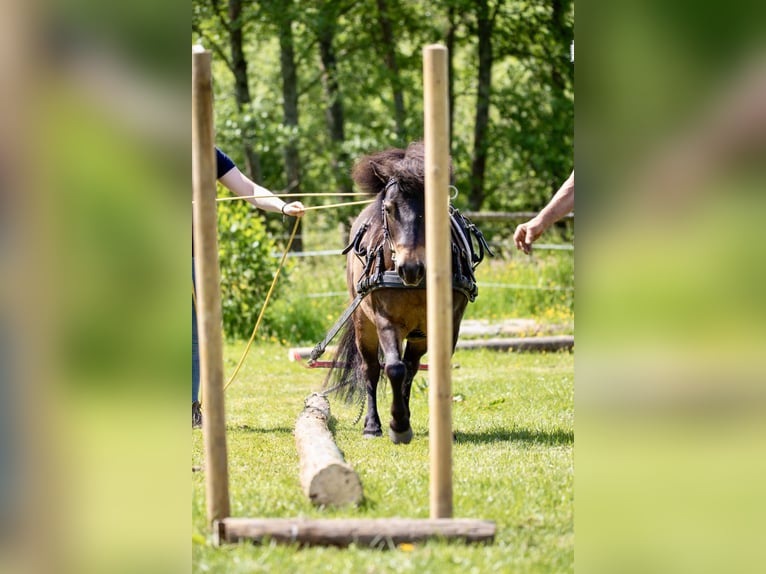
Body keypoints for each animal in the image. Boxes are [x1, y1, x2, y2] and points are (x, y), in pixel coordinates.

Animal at [328, 143, 488, 446]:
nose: (410, 267)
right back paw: (373, 424)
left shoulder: (448, 326)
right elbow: (393, 368)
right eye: (389, 209)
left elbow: (426, 371)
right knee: (371, 369)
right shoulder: (385, 322)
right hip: (363, 324)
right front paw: (398, 425)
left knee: (412, 368)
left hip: (418, 335)